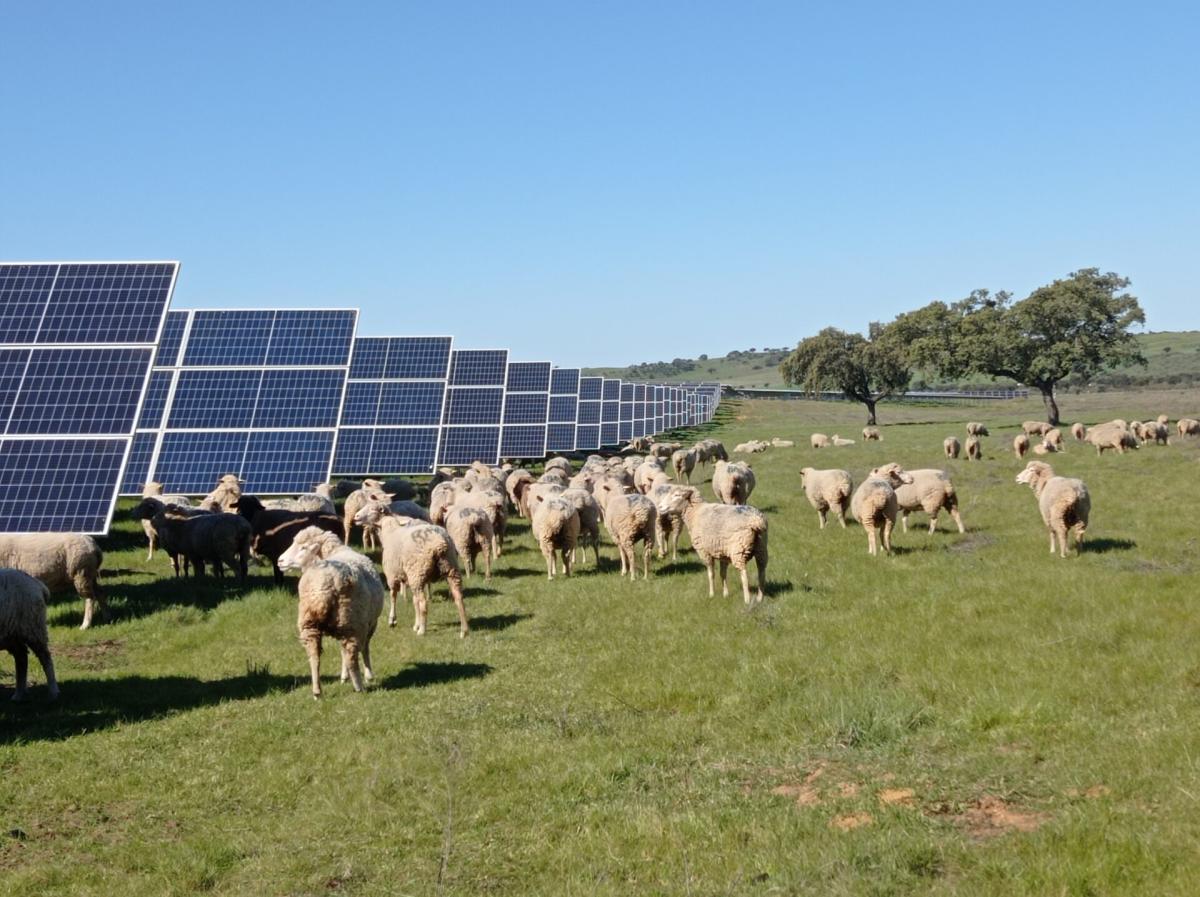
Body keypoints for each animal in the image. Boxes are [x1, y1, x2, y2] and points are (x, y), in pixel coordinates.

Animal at [0, 570, 59, 705]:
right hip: (12, 635)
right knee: (21, 658)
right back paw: (18, 695)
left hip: (33, 627)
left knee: (45, 658)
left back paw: (54, 692)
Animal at [276, 525, 384, 700]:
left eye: (303, 547)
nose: (280, 561)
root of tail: (322, 586)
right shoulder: (370, 623)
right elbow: (365, 648)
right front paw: (368, 675)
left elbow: (344, 651)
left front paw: (344, 677)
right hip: (352, 621)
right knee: (351, 654)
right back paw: (359, 686)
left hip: (311, 623)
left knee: (314, 656)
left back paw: (317, 691)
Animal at [350, 503, 468, 637]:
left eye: (372, 509)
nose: (356, 516)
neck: (389, 531)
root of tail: (440, 543)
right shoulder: (408, 577)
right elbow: (414, 601)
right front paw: (416, 624)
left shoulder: (392, 574)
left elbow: (393, 595)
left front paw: (393, 620)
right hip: (449, 568)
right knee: (458, 597)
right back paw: (464, 631)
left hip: (418, 572)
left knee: (423, 602)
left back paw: (422, 630)